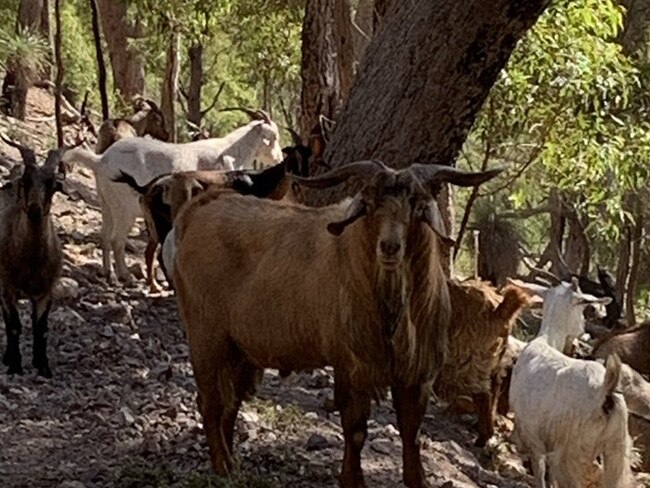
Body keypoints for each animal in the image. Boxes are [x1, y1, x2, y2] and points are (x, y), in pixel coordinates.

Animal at [61, 107, 280, 282]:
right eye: (273, 137)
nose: (278, 158)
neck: (231, 151)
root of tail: (101, 161)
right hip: (124, 209)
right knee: (117, 240)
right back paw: (125, 276)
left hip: (106, 203)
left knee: (105, 237)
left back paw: (109, 274)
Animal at [172, 161, 502, 488]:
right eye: (368, 204)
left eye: (417, 205)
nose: (390, 247)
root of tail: (198, 210)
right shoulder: (353, 366)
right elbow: (355, 430)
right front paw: (352, 480)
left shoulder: (415, 374)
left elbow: (412, 433)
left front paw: (417, 480)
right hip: (206, 337)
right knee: (210, 402)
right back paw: (223, 465)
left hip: (241, 349)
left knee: (230, 403)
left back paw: (233, 460)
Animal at [432, 280, 528, 448]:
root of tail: (499, 311)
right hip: (492, 360)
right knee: (493, 389)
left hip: (467, 355)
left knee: (482, 394)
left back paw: (481, 435)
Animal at [506, 278, 632, 488]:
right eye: (582, 310)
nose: (583, 331)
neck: (546, 341)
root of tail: (604, 391)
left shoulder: (533, 434)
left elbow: (540, 471)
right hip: (616, 450)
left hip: (572, 450)